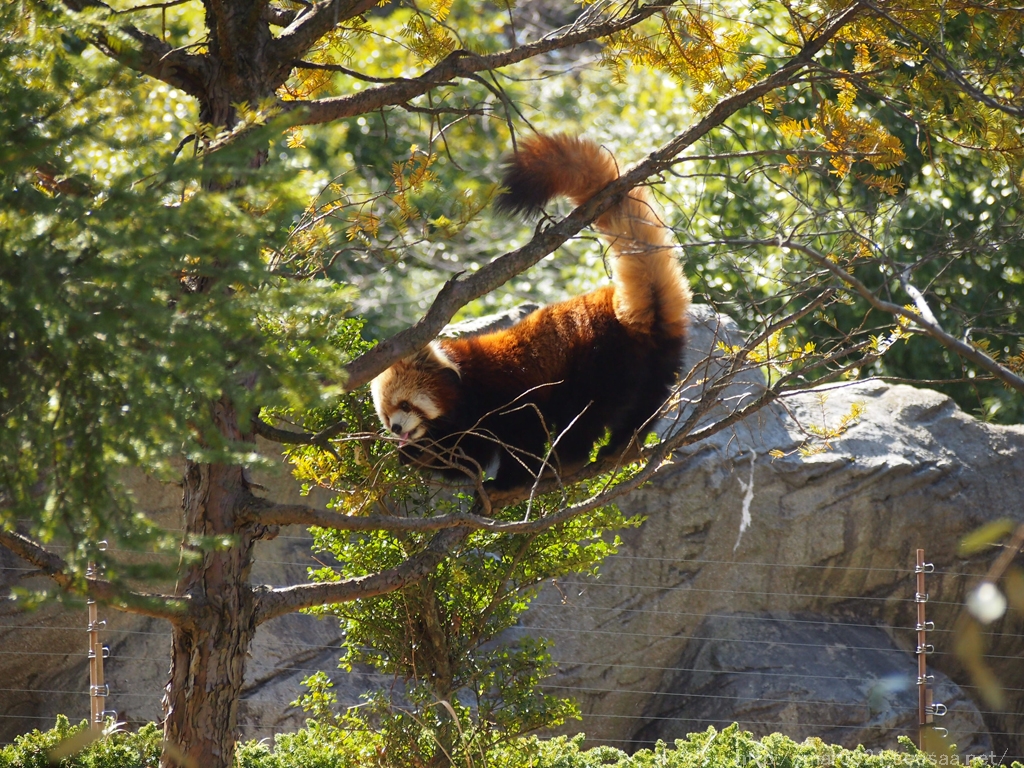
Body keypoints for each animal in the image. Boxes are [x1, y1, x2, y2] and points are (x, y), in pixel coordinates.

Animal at [372, 134, 692, 489]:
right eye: (386, 414)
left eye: (405, 404)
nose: (397, 428)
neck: (466, 380)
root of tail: (636, 311)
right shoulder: (470, 422)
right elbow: (467, 455)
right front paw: (419, 455)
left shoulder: (507, 395)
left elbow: (521, 436)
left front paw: (506, 482)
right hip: (660, 361)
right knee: (647, 402)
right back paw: (624, 444)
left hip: (600, 361)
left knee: (584, 412)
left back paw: (567, 459)